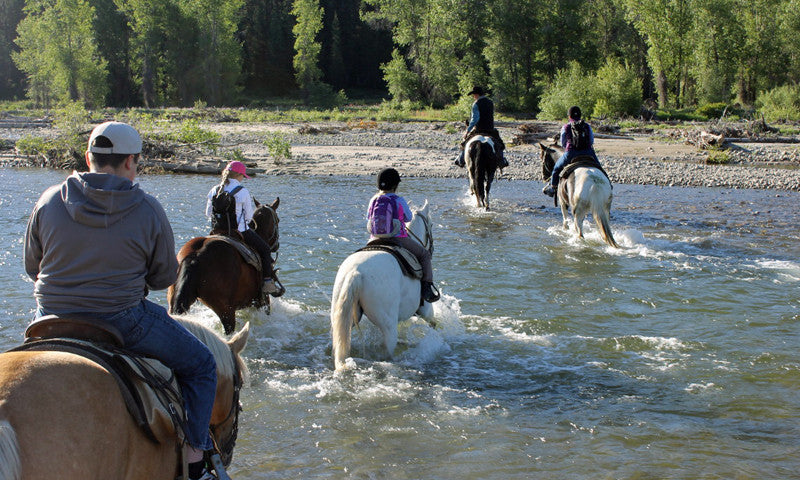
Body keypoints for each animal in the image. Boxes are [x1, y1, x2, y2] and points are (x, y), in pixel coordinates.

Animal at [330, 201, 435, 371]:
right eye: (431, 224)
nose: (431, 249)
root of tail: (355, 272)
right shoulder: (426, 309)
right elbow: (433, 324)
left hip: (342, 318)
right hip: (388, 326)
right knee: (388, 351)